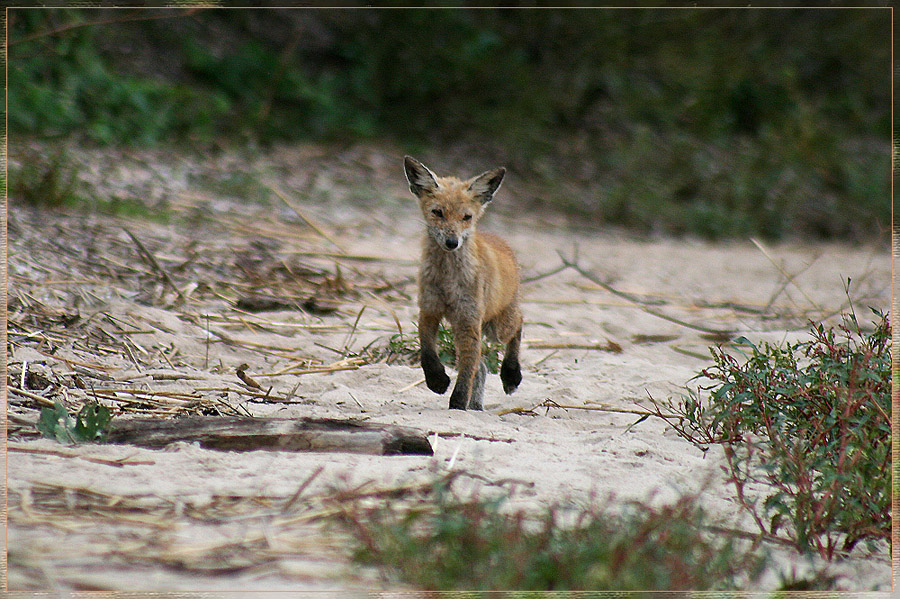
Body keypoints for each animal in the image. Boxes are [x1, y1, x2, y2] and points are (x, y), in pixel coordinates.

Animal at [404, 157, 524, 412]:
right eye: (438, 212)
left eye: (466, 217)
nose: (452, 242)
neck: (448, 281)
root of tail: (500, 240)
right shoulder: (429, 310)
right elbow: (427, 352)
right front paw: (437, 380)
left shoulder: (469, 321)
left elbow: (467, 370)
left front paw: (458, 404)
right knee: (482, 367)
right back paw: (476, 404)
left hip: (496, 328)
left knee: (519, 323)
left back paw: (511, 374)